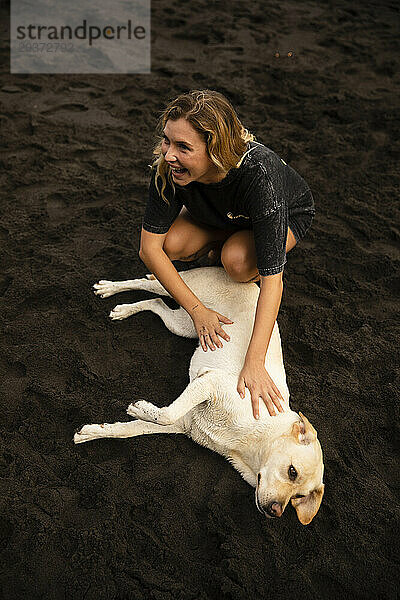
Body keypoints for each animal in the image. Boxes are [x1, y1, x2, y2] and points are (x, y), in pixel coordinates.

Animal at [74, 268, 324, 524]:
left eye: (298, 497)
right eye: (292, 472)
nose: (276, 511)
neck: (250, 442)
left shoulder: (184, 423)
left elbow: (129, 430)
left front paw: (93, 432)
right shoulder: (210, 382)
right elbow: (165, 413)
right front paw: (139, 408)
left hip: (186, 324)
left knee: (156, 303)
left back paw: (124, 309)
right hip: (180, 291)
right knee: (148, 283)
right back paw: (110, 288)